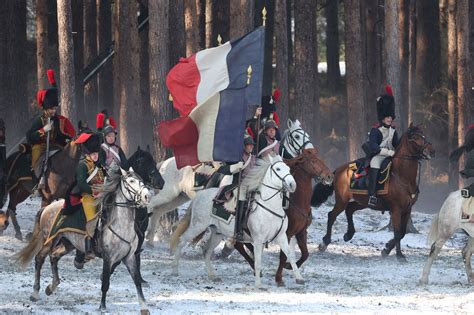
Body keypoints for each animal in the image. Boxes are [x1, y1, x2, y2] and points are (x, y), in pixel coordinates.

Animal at [146, 118, 312, 244]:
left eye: (306, 134)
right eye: (297, 136)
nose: (310, 150)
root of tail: (164, 163)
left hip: (178, 197)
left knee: (158, 211)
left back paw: (150, 240)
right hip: (168, 193)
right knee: (151, 205)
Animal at [170, 155, 308, 288]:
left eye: (289, 169)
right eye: (278, 169)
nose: (292, 184)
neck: (269, 208)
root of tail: (199, 196)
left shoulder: (281, 236)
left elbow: (290, 256)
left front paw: (299, 278)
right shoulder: (258, 240)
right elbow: (258, 261)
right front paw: (259, 284)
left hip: (217, 233)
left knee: (206, 251)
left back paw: (212, 276)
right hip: (197, 226)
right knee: (182, 240)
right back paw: (175, 270)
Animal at [233, 148, 334, 286]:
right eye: (313, 161)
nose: (330, 176)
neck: (297, 201)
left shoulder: (301, 232)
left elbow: (305, 253)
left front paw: (290, 267)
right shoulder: (288, 233)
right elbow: (283, 256)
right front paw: (279, 278)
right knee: (239, 245)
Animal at [312, 123, 436, 262]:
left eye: (423, 135)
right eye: (414, 137)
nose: (432, 151)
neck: (402, 176)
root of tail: (338, 170)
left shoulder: (407, 209)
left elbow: (403, 232)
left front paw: (386, 249)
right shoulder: (396, 209)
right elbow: (397, 232)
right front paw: (399, 255)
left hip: (362, 202)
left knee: (349, 210)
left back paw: (349, 234)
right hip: (342, 201)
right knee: (332, 215)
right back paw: (324, 243)